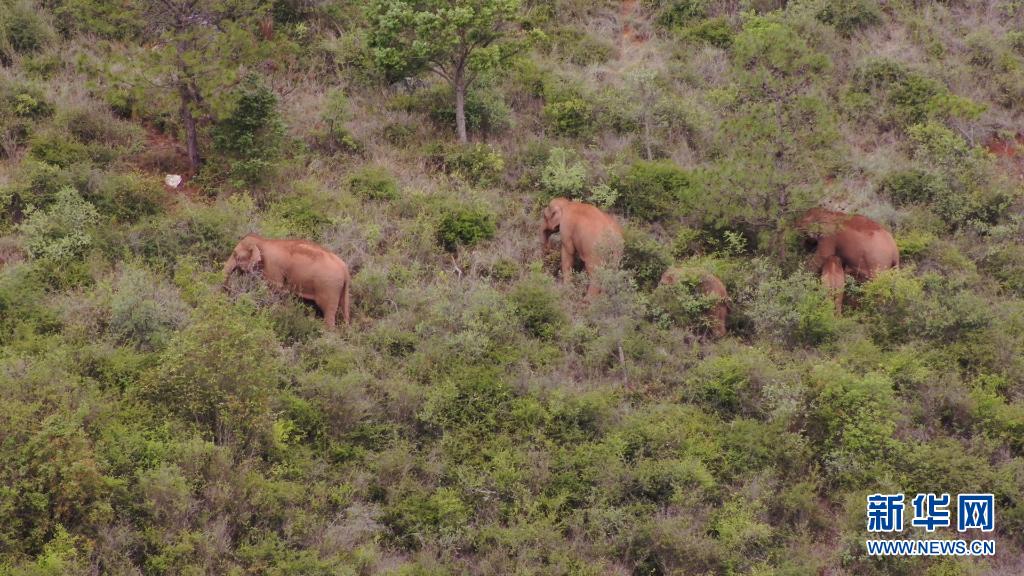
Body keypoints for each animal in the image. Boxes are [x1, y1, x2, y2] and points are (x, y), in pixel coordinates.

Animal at [223, 230, 352, 325]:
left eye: (235, 254)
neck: (263, 241)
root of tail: (345, 269)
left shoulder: (273, 267)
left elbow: (275, 289)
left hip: (329, 287)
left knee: (328, 312)